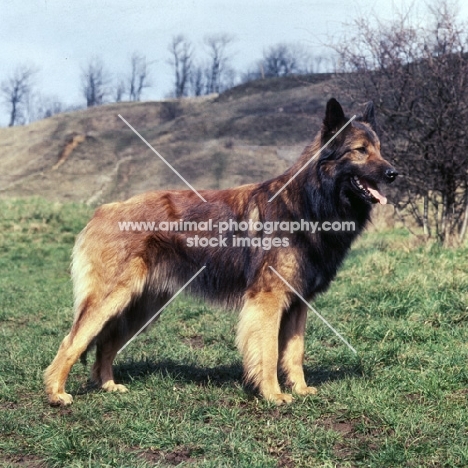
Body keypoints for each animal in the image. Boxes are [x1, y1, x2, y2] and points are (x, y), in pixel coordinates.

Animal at [44, 98, 396, 406]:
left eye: (380, 149)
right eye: (360, 150)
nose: (394, 173)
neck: (308, 203)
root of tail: (104, 210)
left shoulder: (298, 303)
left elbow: (294, 352)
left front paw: (300, 389)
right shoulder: (268, 300)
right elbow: (269, 351)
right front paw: (273, 395)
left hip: (141, 306)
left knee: (105, 343)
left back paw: (107, 385)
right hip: (112, 299)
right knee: (72, 340)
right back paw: (56, 393)